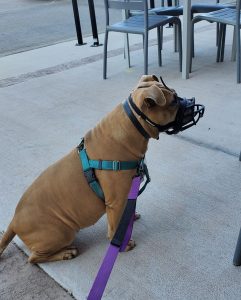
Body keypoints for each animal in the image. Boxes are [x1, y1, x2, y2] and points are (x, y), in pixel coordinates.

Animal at [0, 75, 179, 262]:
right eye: (173, 101)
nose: (187, 101)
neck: (131, 126)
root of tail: (13, 221)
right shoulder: (116, 201)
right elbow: (115, 228)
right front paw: (123, 243)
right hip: (62, 233)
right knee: (34, 258)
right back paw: (65, 253)